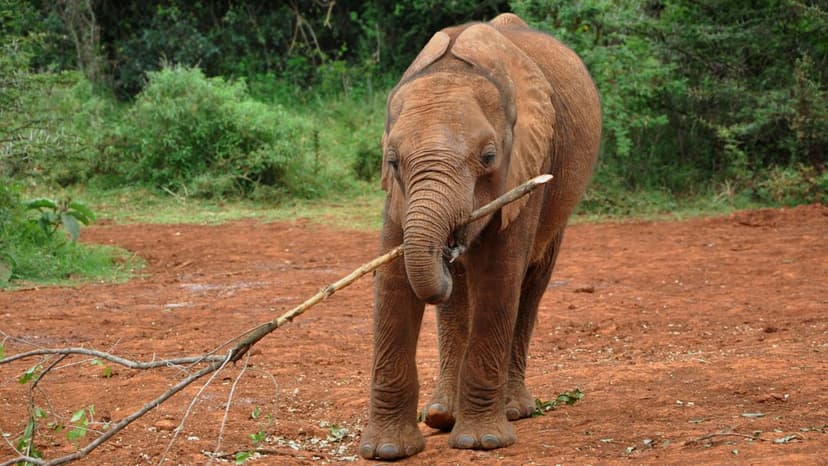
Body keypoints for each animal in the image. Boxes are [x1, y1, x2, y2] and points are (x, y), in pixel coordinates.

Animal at [359, 13, 601, 460]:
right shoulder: (397, 197)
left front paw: (481, 443)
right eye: (393, 161)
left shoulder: (527, 166)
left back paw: (513, 410)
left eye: (488, 157)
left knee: (530, 284)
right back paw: (441, 416)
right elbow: (394, 282)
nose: (451, 244)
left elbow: (499, 276)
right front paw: (386, 451)